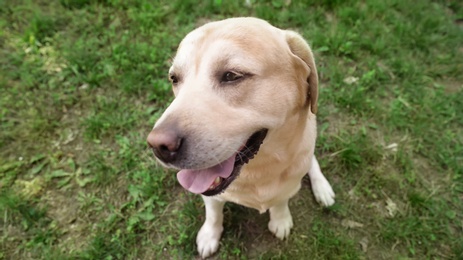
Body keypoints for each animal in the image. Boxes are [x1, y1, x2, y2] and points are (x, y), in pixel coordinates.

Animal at [149, 16, 338, 258]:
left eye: (231, 76)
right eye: (174, 79)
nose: (159, 147)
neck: (257, 170)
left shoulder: (287, 187)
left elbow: (280, 202)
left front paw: (280, 220)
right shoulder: (211, 195)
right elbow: (213, 213)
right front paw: (209, 235)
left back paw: (322, 188)